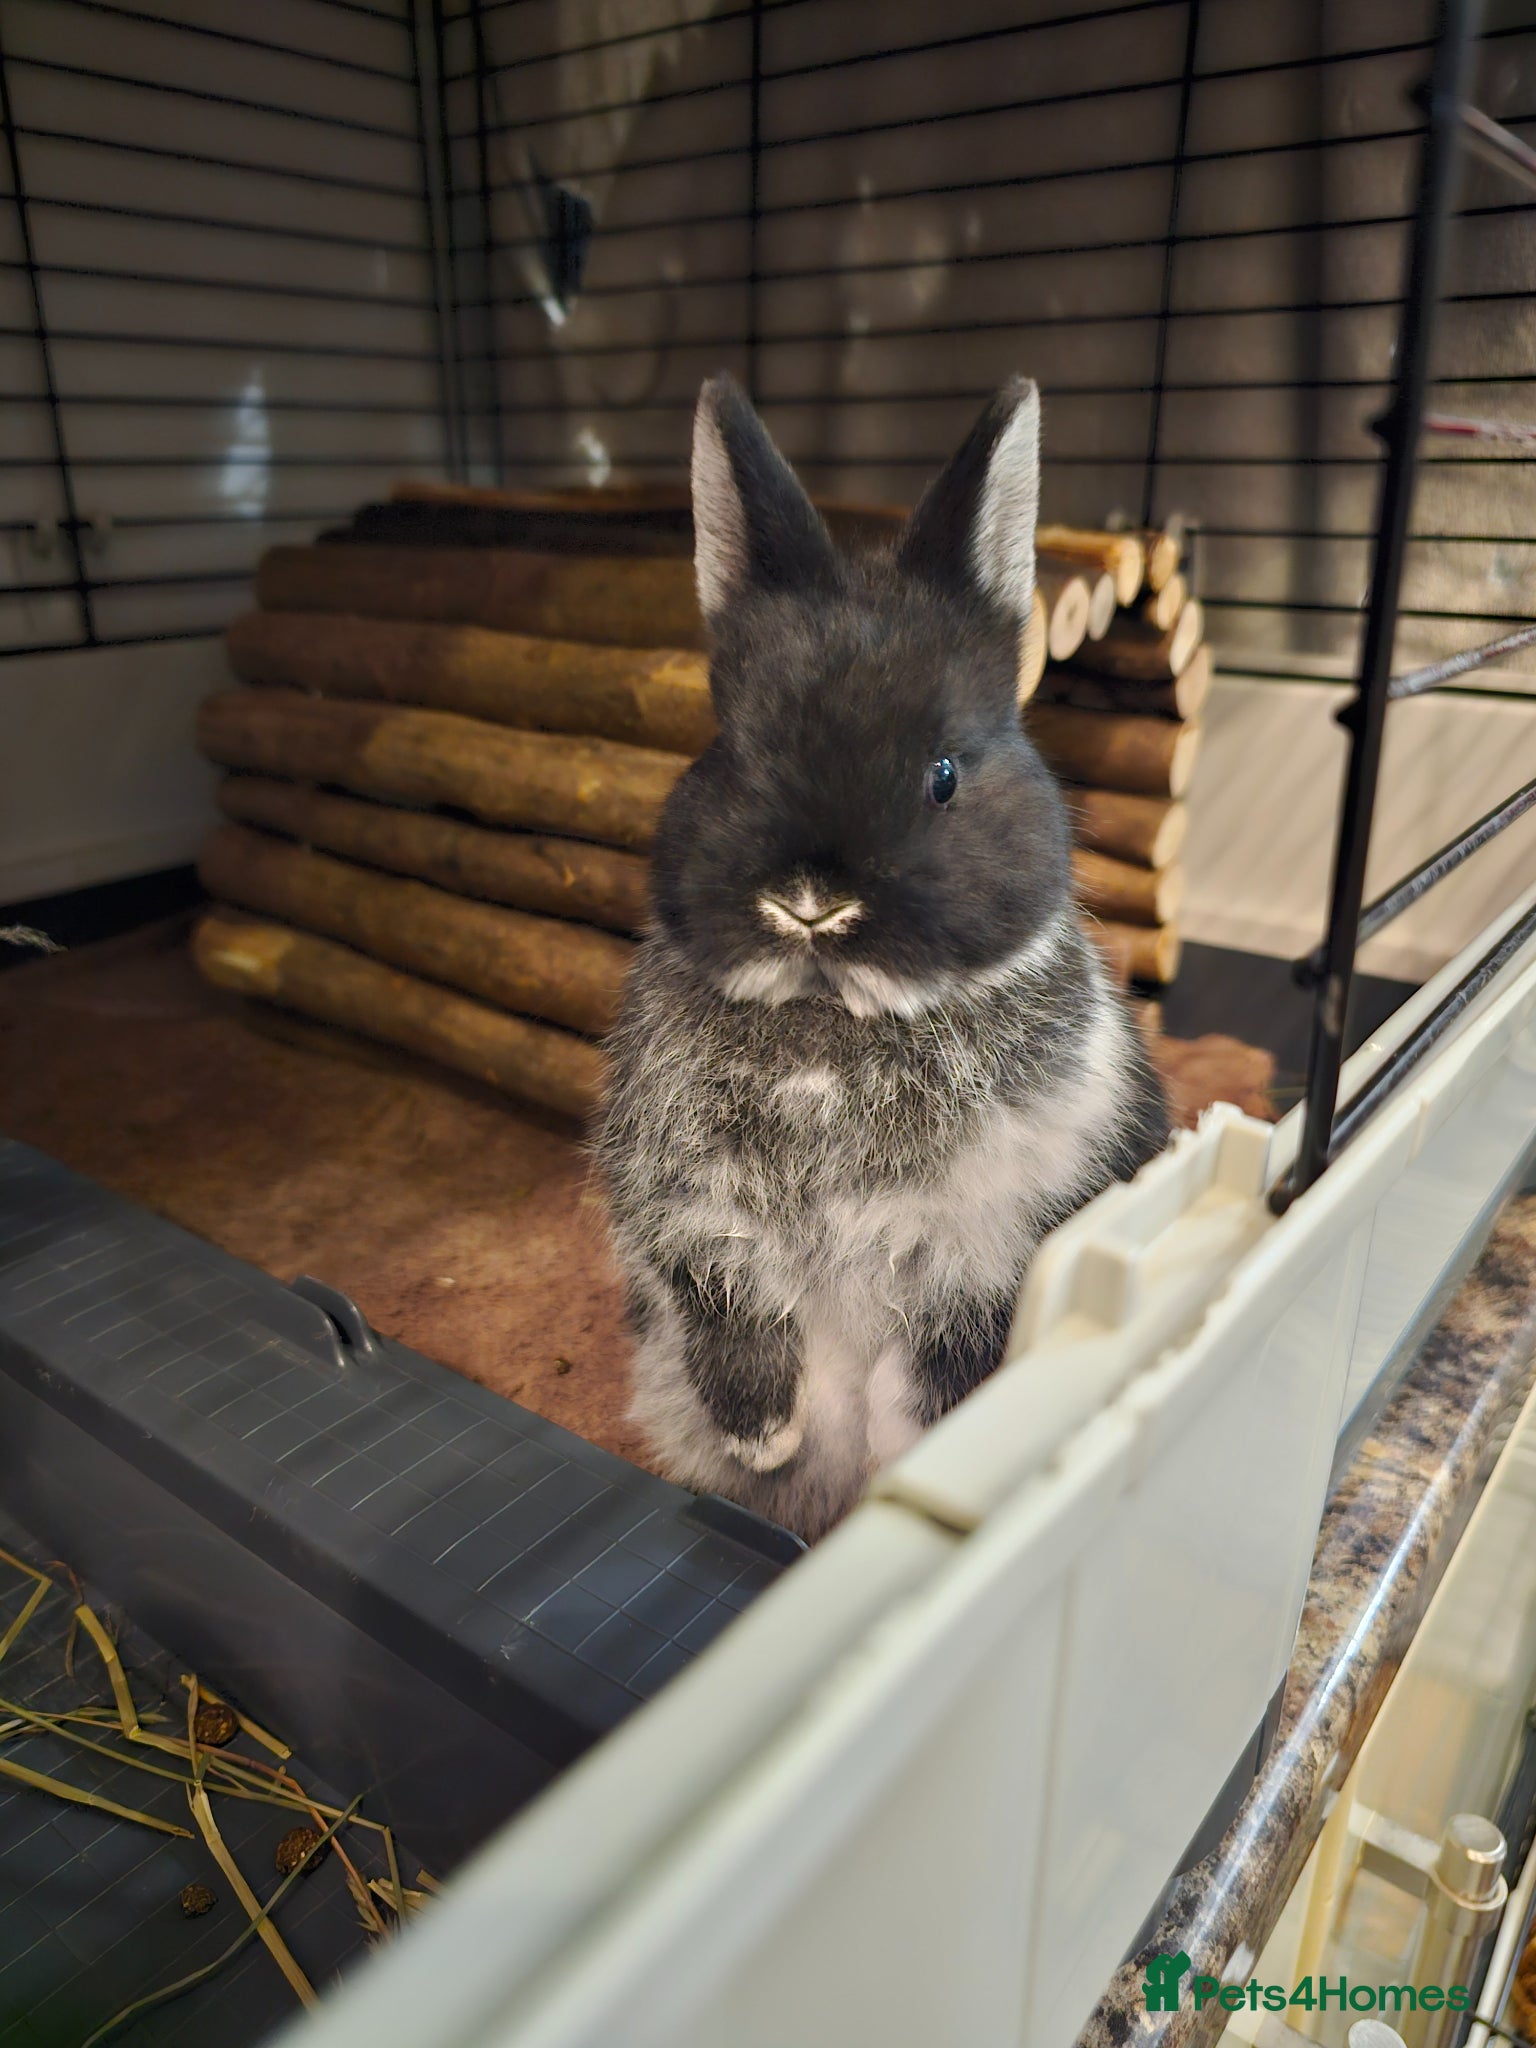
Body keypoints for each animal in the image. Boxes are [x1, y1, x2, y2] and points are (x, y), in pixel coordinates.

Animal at [596, 373, 1170, 1541]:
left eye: (944, 774)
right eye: (730, 749)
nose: (810, 906)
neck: (832, 1026)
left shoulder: (992, 1244)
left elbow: (934, 1371)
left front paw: (906, 1465)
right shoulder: (689, 1217)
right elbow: (729, 1316)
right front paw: (765, 1437)